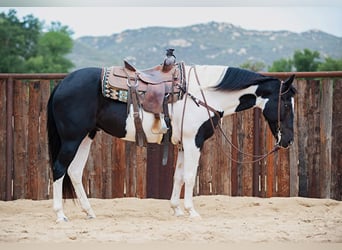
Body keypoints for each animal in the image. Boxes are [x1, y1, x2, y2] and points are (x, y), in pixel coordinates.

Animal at [46, 63, 296, 222]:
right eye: (285, 104)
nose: (288, 140)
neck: (202, 94)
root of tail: (62, 84)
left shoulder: (184, 143)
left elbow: (178, 176)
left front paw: (176, 210)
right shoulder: (194, 141)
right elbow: (190, 176)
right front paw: (191, 212)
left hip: (86, 137)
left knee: (74, 172)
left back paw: (89, 212)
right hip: (71, 139)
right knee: (59, 169)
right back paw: (60, 215)